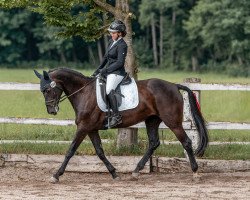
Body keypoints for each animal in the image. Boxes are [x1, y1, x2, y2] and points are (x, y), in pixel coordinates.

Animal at [33, 68, 209, 183]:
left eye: (48, 90)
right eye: (42, 91)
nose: (51, 110)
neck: (84, 93)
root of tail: (173, 85)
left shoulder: (83, 127)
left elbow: (70, 151)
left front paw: (56, 175)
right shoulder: (91, 129)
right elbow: (100, 152)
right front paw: (114, 173)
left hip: (172, 122)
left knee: (186, 142)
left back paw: (195, 172)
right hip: (152, 120)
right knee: (154, 143)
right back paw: (136, 172)